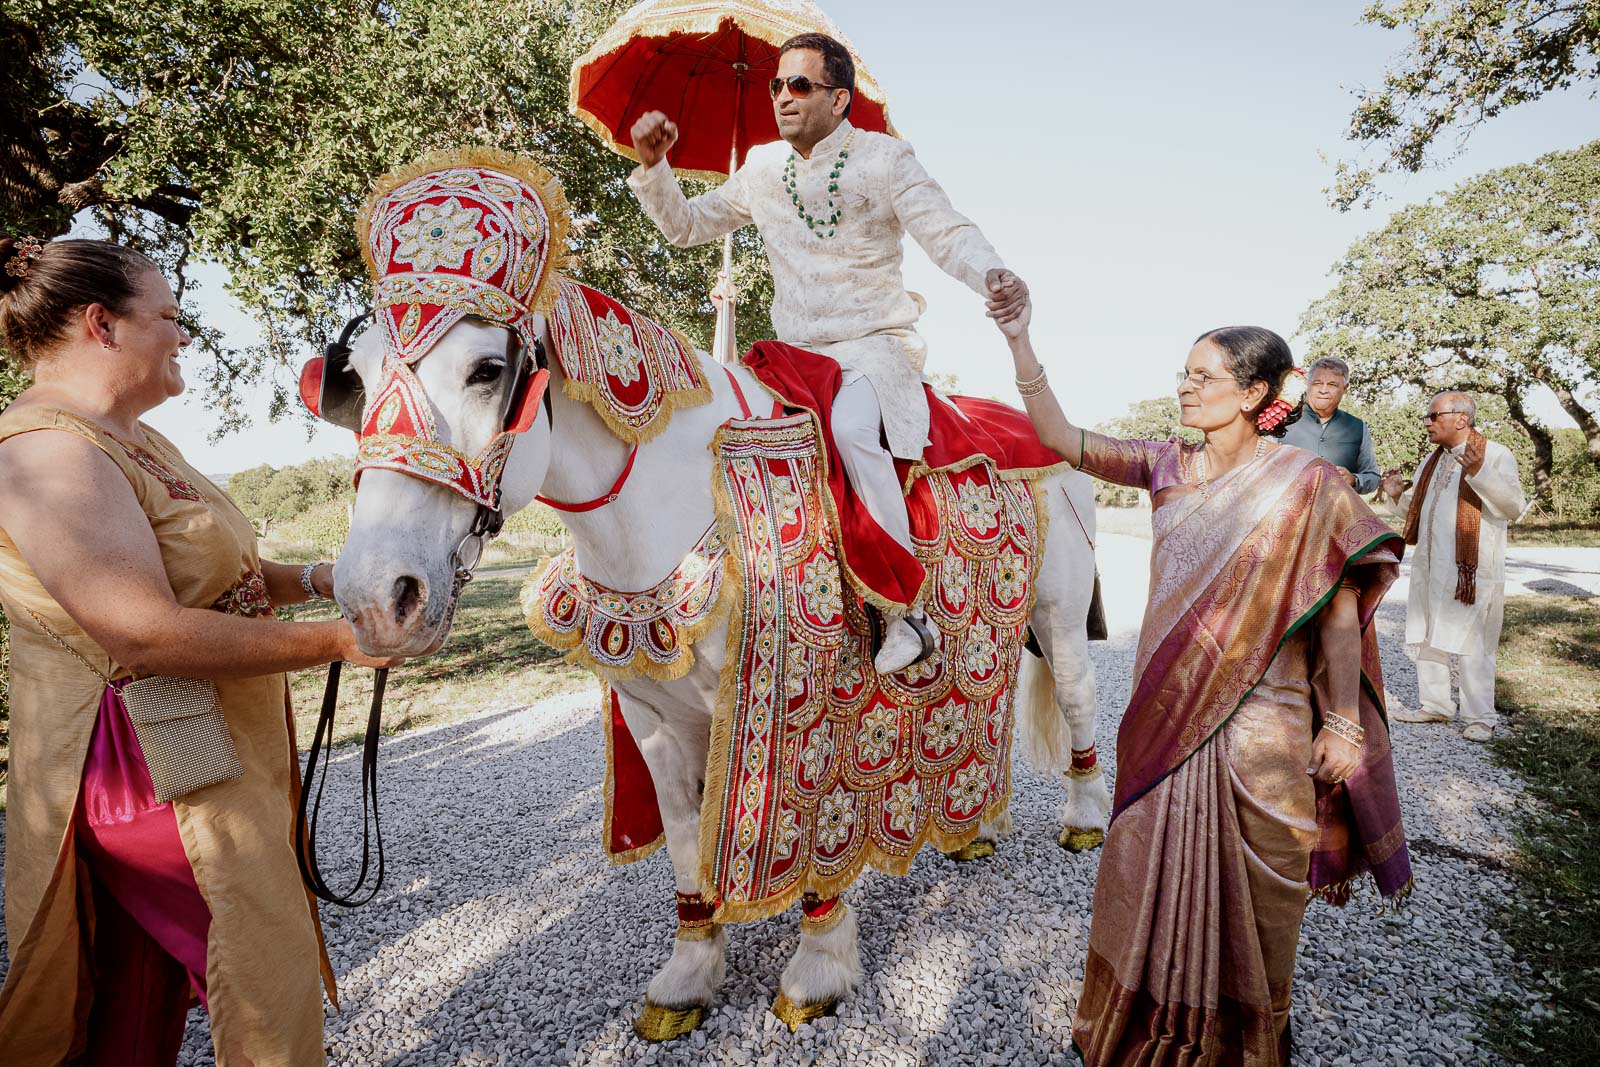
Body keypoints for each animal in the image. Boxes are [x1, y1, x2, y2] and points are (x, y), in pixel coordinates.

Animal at [334, 315, 1113, 1036]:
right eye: (360, 377)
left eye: (488, 369)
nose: (378, 598)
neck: (671, 497)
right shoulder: (652, 719)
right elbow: (683, 832)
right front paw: (688, 976)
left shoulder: (798, 694)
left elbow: (802, 819)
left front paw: (817, 968)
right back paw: (974, 828)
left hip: (1060, 614)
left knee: (1077, 695)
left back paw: (1083, 822)